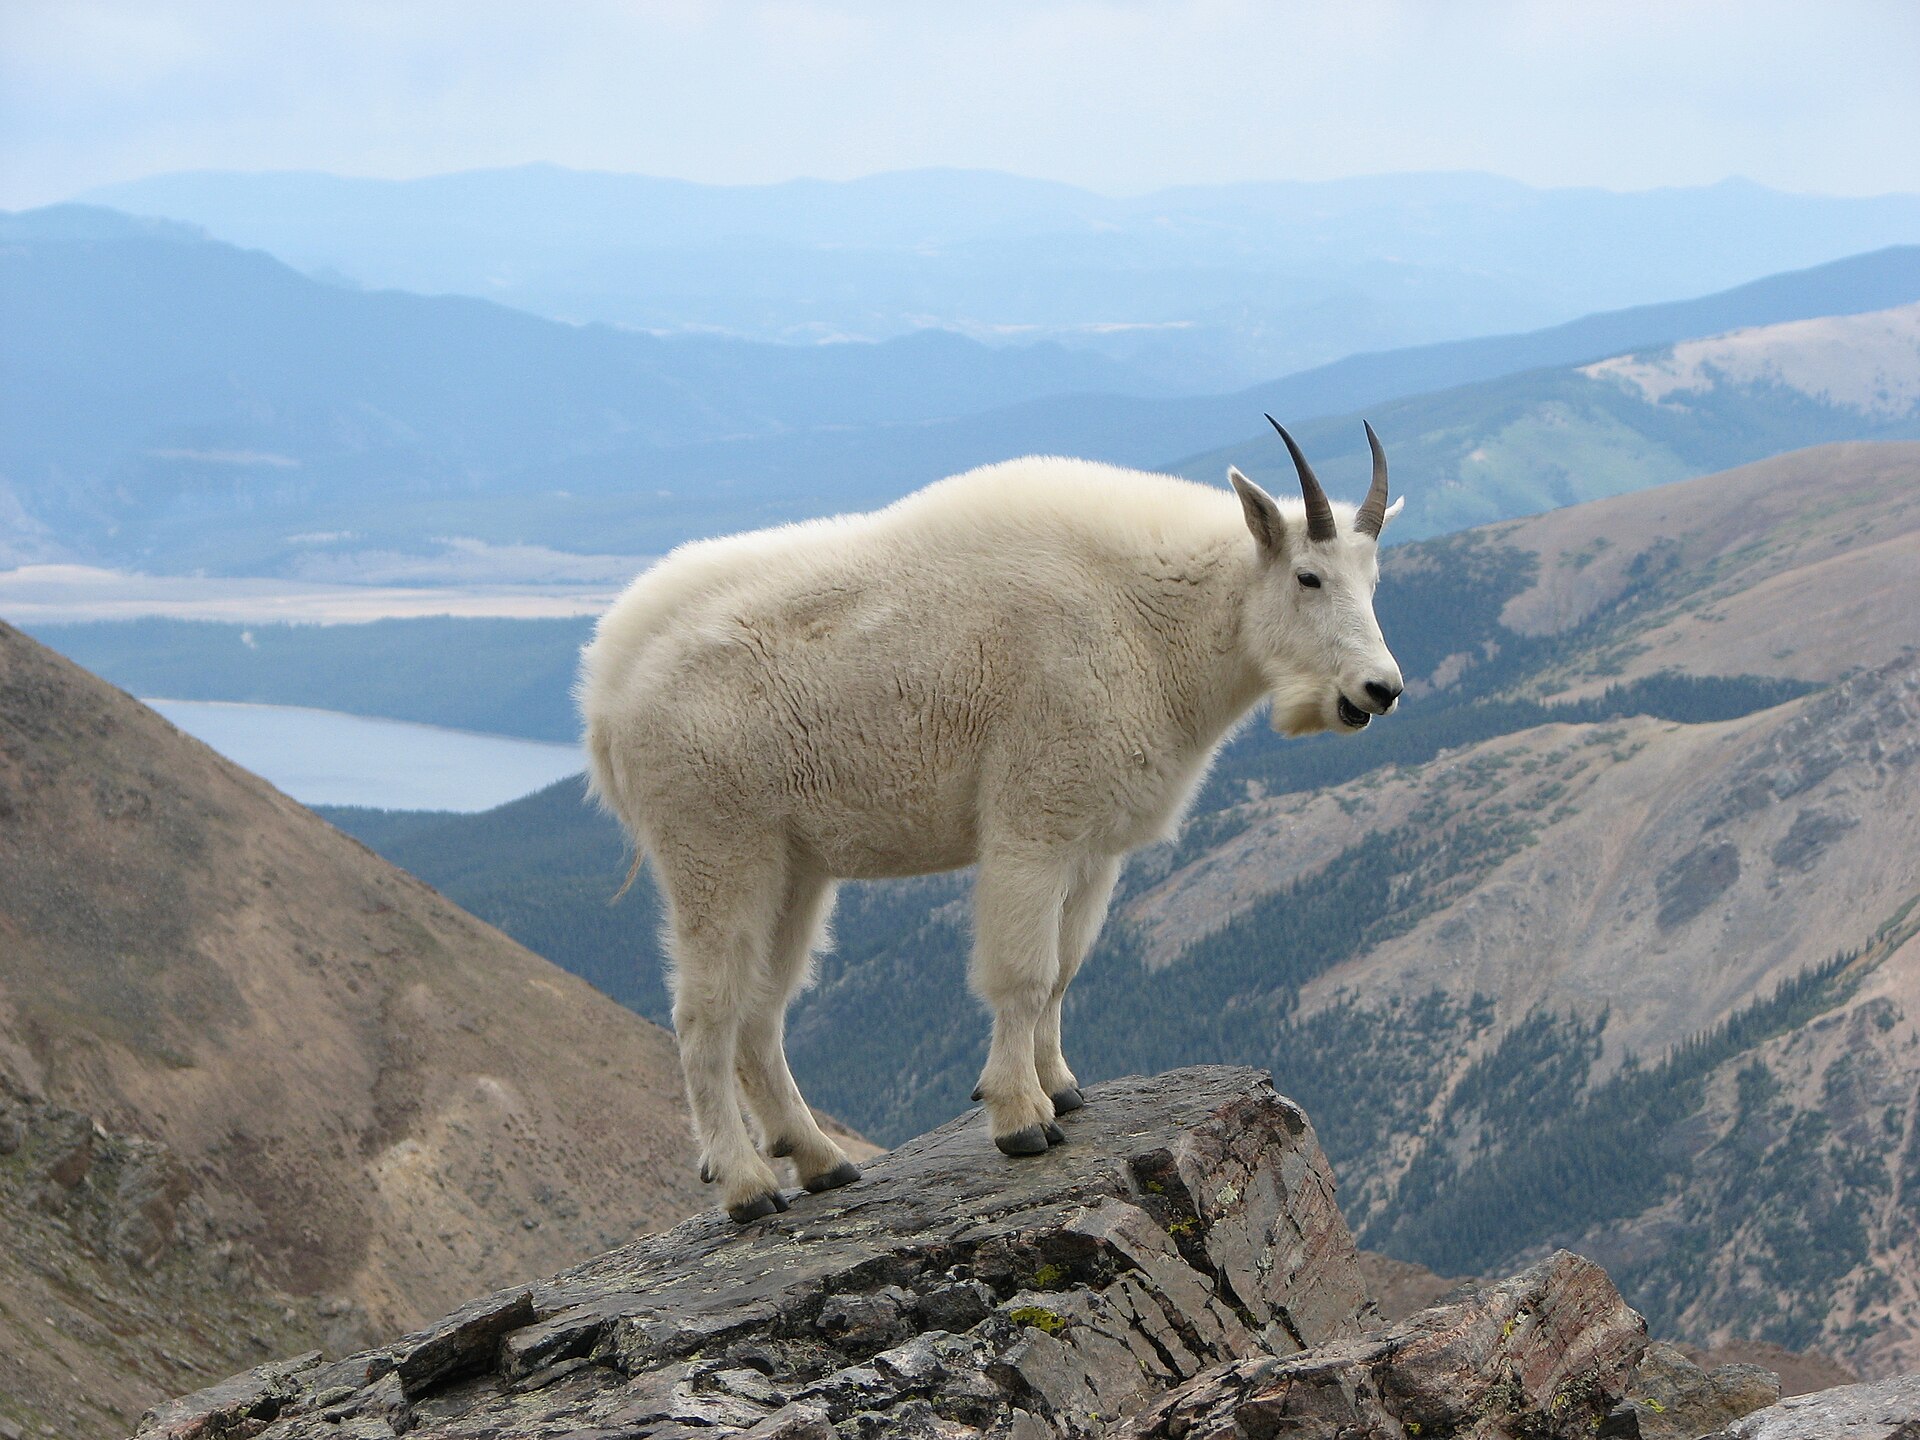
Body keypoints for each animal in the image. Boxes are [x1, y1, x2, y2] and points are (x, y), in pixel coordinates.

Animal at [579, 419, 1405, 1220]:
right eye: (1308, 576)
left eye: (1373, 582)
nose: (1381, 690)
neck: (1151, 617)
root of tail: (606, 690)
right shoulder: (1032, 825)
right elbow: (1024, 973)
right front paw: (1020, 1117)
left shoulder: (1092, 847)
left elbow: (1065, 969)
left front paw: (1063, 1088)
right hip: (715, 847)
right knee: (704, 1015)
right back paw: (746, 1186)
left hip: (794, 867)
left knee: (761, 1013)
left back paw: (822, 1160)